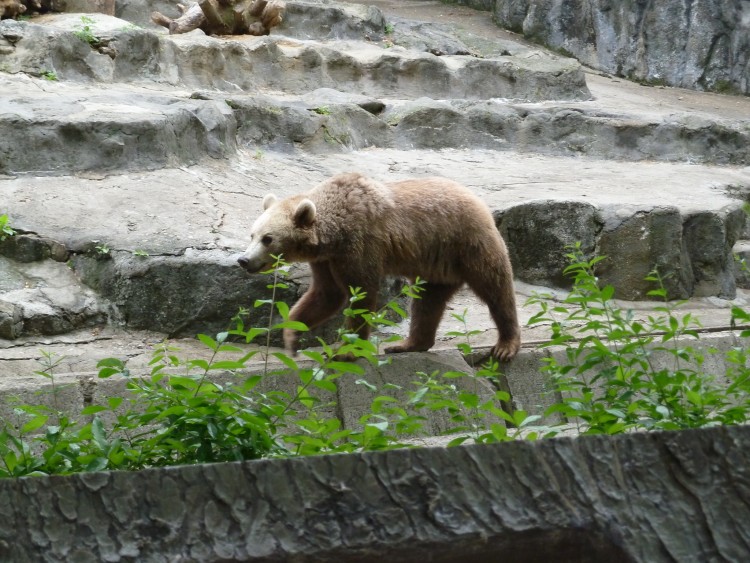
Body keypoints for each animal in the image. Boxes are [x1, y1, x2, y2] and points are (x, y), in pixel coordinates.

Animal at [241, 172, 524, 362]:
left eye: (268, 238)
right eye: (252, 235)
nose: (244, 260)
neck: (332, 234)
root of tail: (478, 201)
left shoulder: (359, 244)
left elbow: (361, 292)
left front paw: (345, 350)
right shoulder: (326, 260)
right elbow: (325, 295)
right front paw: (292, 337)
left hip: (466, 243)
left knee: (495, 287)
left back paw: (505, 344)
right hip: (435, 266)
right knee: (427, 302)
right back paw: (407, 344)